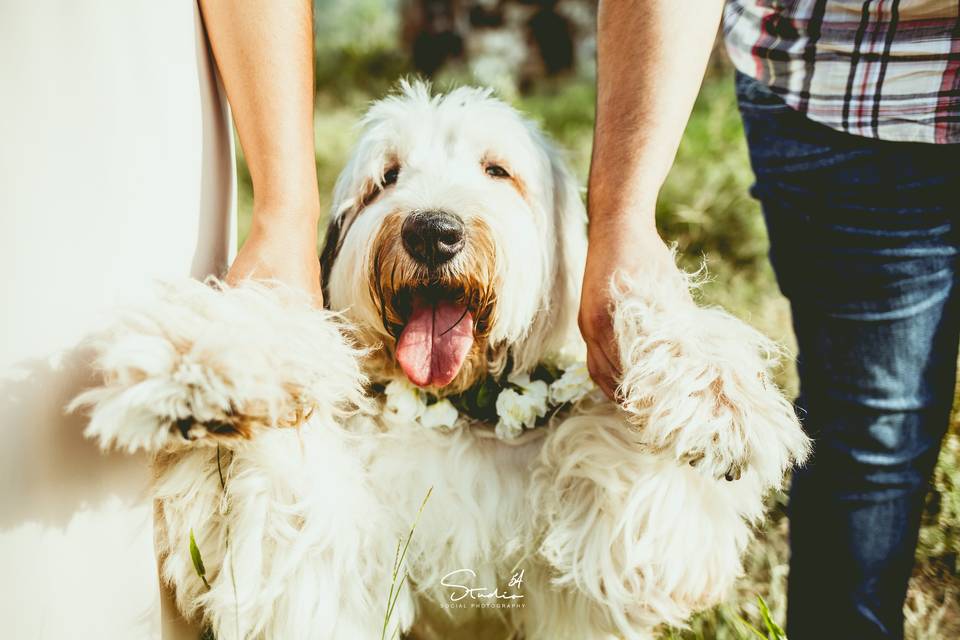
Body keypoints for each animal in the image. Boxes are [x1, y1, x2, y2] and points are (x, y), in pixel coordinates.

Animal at [73, 82, 808, 636]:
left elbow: (651, 476)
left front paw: (718, 397)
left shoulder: (617, 562)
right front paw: (202, 367)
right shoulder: (311, 561)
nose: (432, 230)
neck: (454, 411)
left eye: (496, 171)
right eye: (387, 178)